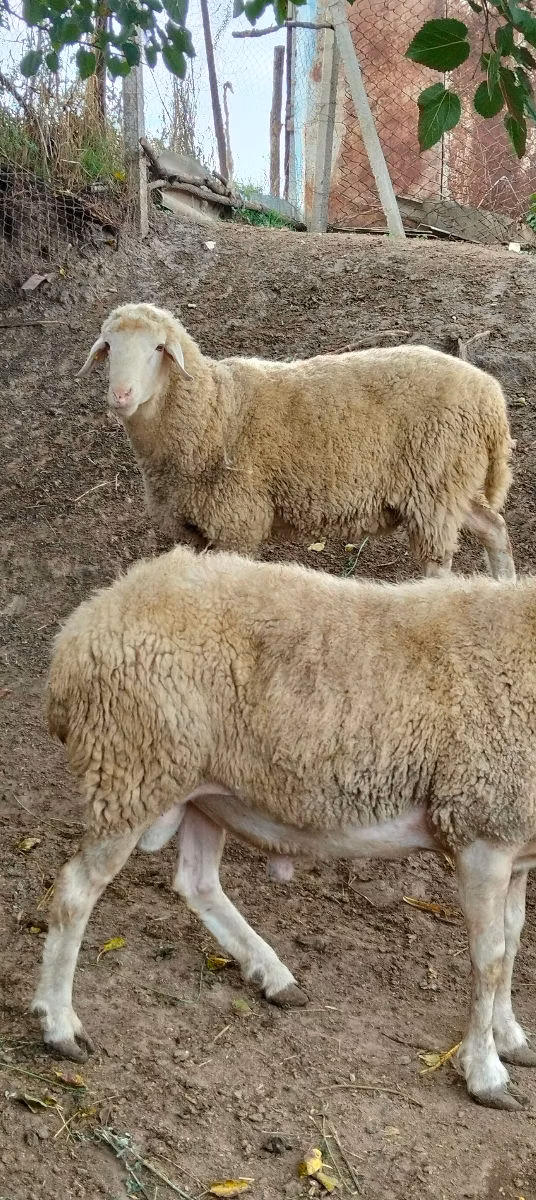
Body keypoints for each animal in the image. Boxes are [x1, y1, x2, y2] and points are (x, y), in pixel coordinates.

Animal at [33, 544, 536, 1111]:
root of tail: (80, 629)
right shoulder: (482, 830)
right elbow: (490, 958)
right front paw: (487, 1074)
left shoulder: (515, 844)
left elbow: (512, 940)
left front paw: (510, 1037)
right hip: (130, 768)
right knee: (74, 892)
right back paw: (60, 1026)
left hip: (203, 791)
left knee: (197, 882)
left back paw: (272, 975)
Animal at [77, 302, 516, 581]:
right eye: (108, 347)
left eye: (158, 348)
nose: (121, 395)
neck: (213, 409)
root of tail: (490, 395)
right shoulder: (197, 530)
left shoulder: (237, 523)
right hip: (452, 484)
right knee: (495, 528)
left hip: (434, 487)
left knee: (439, 564)